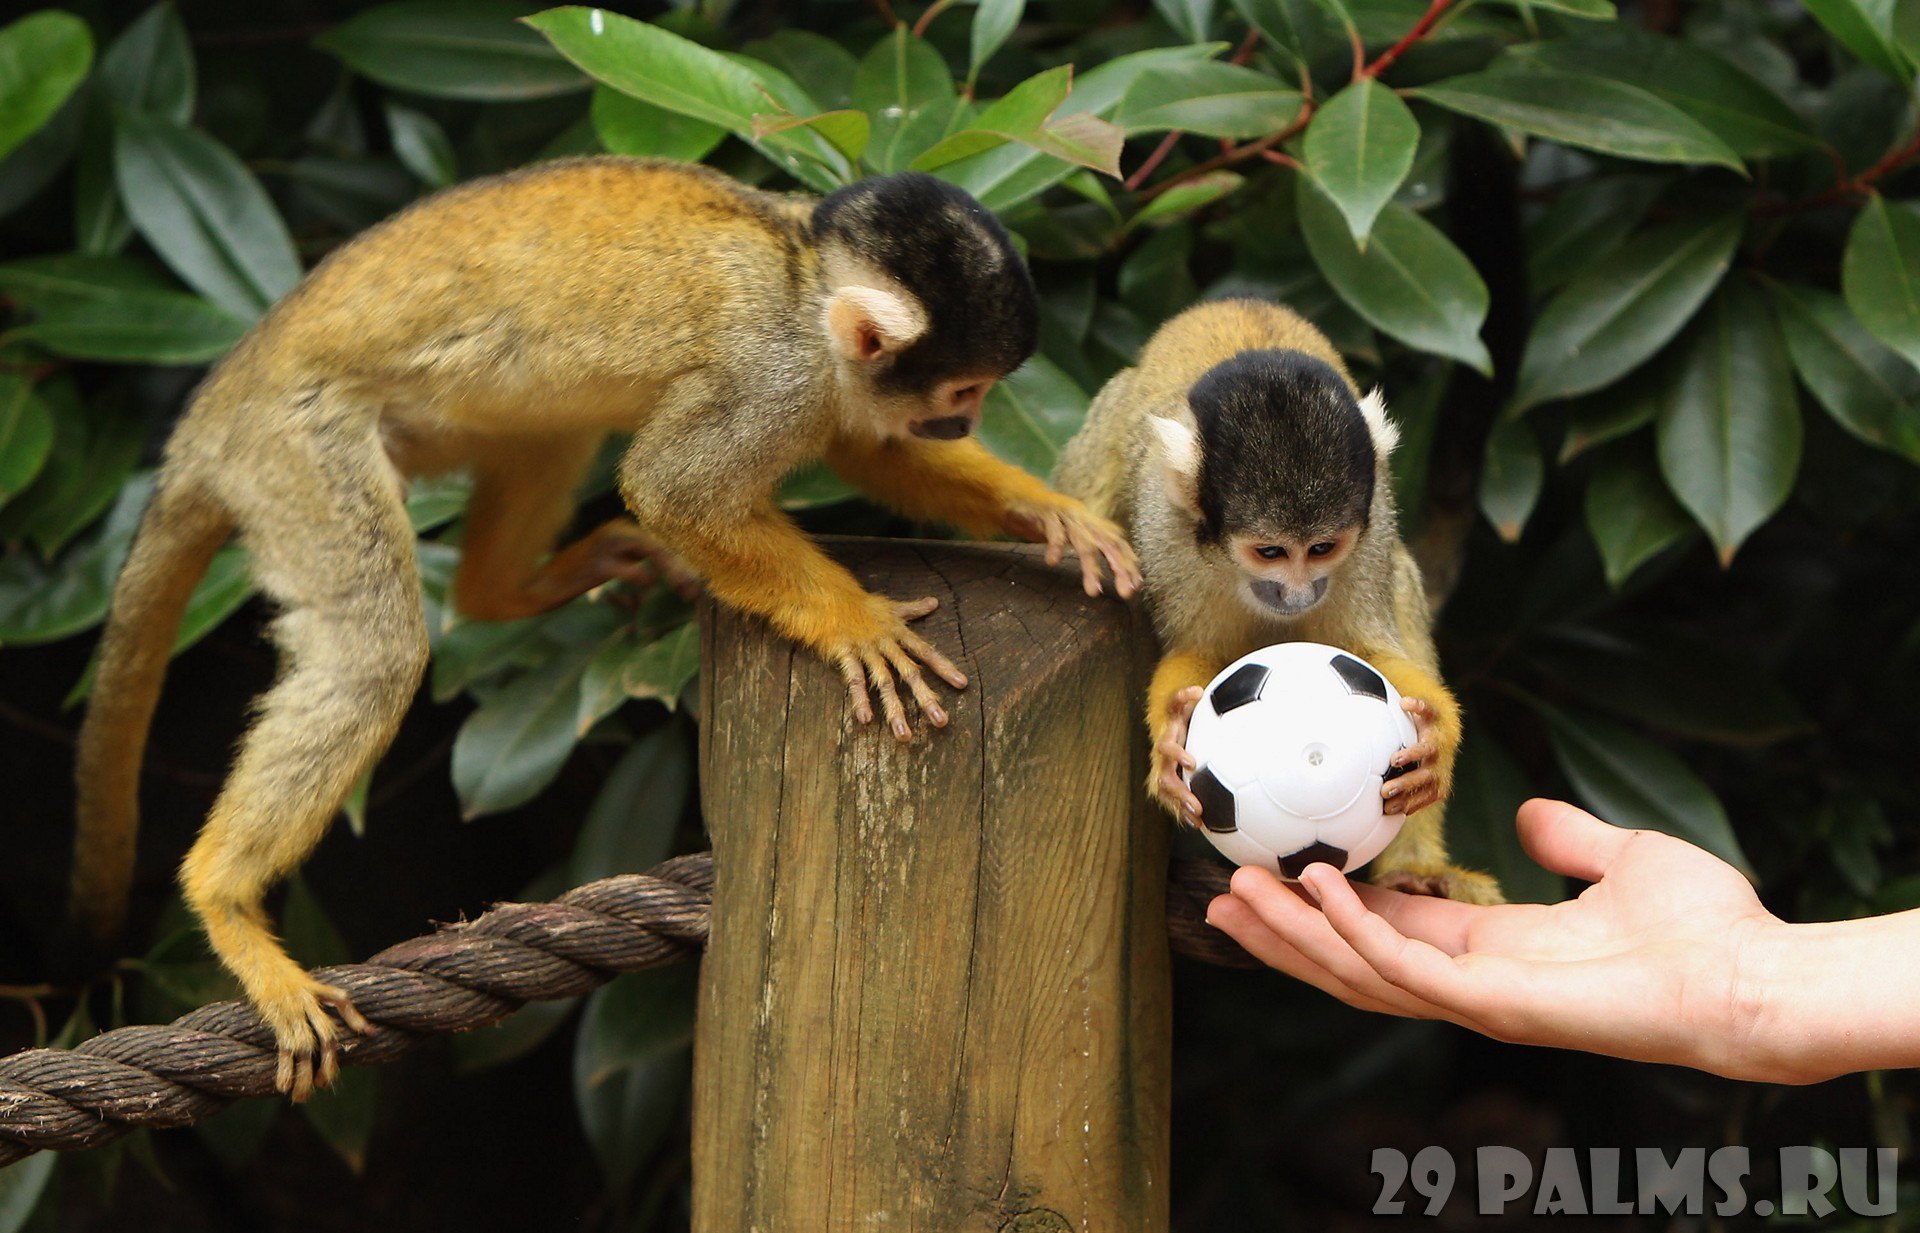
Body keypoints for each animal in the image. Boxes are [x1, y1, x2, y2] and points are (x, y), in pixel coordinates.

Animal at [71, 161, 1136, 1090]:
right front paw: (855, 623)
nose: (962, 428)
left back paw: (505, 593)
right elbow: (679, 489)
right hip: (293, 445)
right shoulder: (777, 375)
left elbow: (868, 448)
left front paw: (1047, 511)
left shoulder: (828, 384)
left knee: (546, 431)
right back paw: (225, 896)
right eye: (963, 393)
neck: (806, 279)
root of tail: (218, 400)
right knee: (375, 652)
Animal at [1052, 299, 1497, 902]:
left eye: (1321, 549)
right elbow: (1195, 652)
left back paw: (1419, 871)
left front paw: (1437, 735)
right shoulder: (1167, 533)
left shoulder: (1371, 528)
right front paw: (1171, 729)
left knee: (1402, 580)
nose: (1299, 593)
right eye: (1270, 552)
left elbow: (1371, 654)